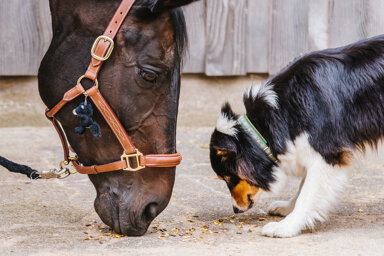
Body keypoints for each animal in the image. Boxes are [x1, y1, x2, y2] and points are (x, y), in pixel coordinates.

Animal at [210, 35, 384, 237]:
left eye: (228, 178)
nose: (235, 210)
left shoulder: (327, 154)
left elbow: (307, 193)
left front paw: (286, 226)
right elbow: (302, 187)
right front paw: (286, 208)